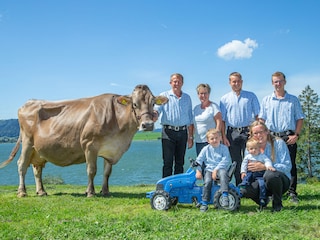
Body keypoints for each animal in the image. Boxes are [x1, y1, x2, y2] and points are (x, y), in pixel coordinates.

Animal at [0, 84, 166, 197]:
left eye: (153, 103)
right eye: (135, 104)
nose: (148, 125)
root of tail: (28, 102)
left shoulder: (110, 150)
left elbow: (107, 173)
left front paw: (105, 191)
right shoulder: (89, 145)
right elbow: (91, 170)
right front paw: (90, 192)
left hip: (38, 149)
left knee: (37, 169)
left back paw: (41, 191)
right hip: (27, 142)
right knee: (22, 165)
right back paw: (22, 192)